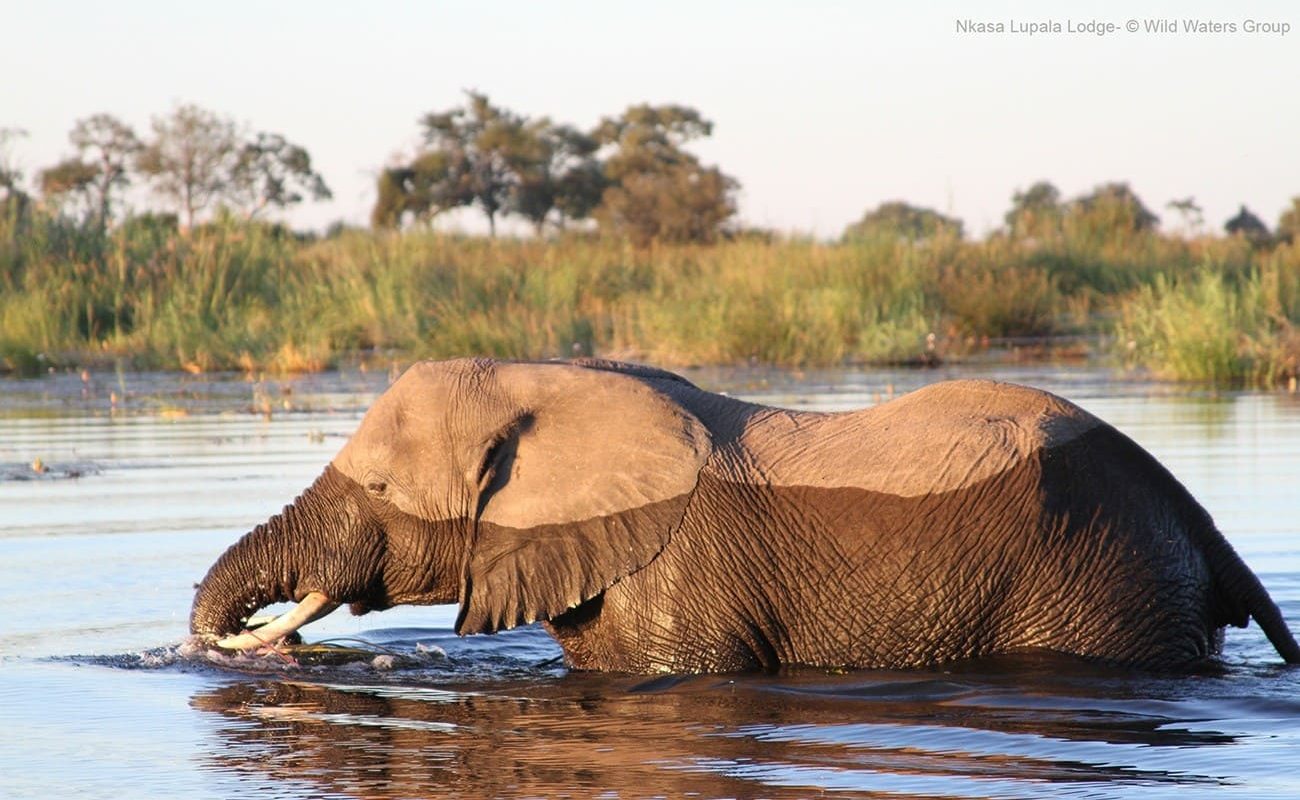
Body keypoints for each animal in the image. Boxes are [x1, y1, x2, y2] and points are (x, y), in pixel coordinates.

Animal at [190, 357, 1300, 673]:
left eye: (378, 492)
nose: (259, 636)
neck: (546, 377)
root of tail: (1198, 518)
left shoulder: (687, 578)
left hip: (1103, 579)